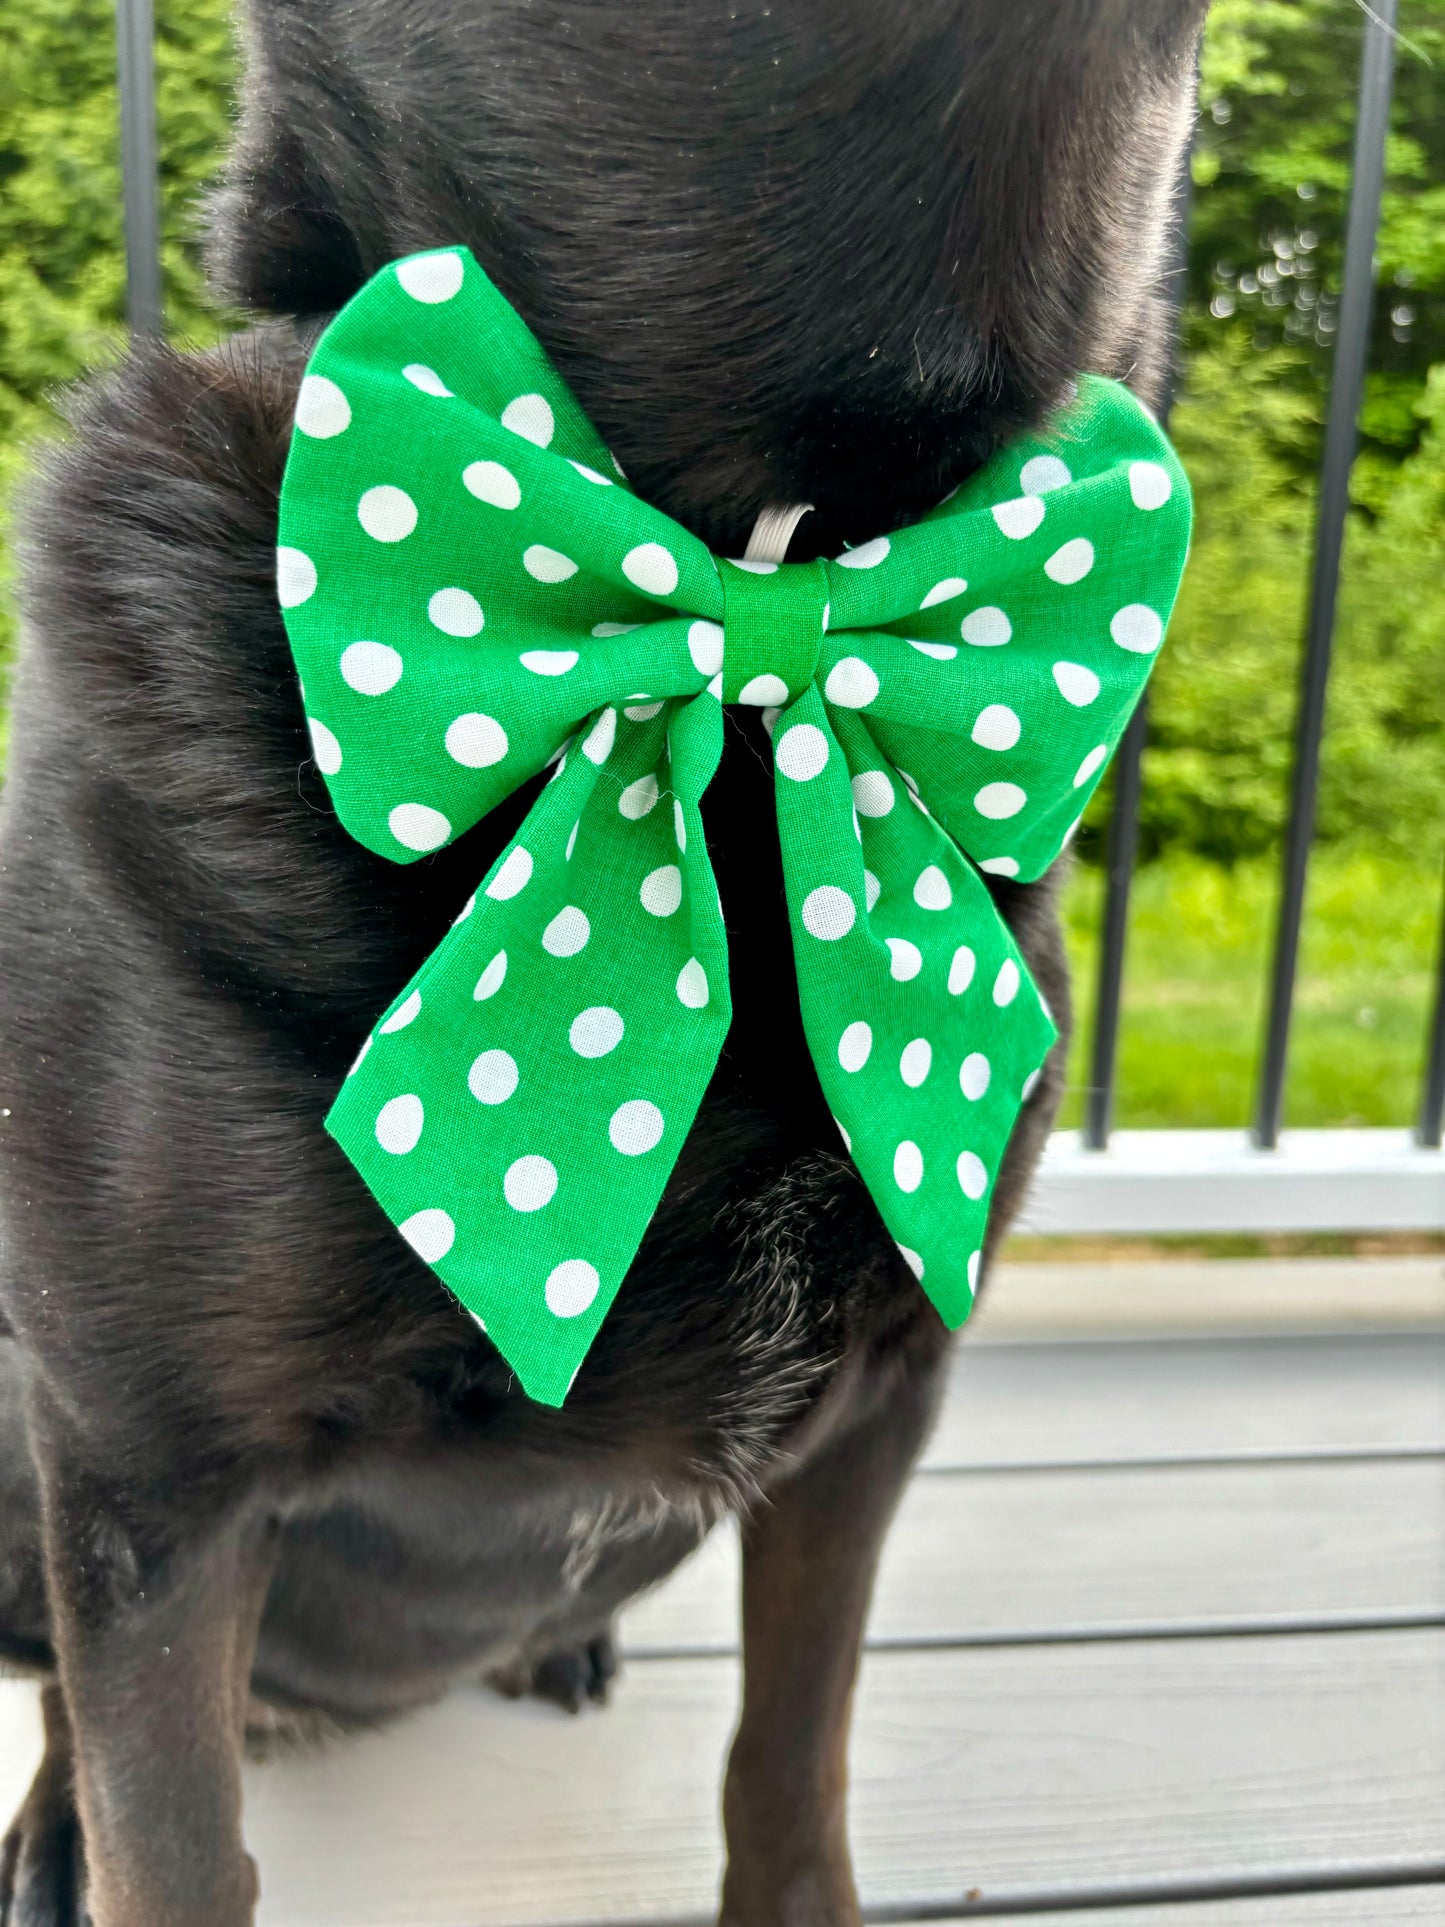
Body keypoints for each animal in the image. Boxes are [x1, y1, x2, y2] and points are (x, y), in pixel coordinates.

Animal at [0, 7, 1202, 1919]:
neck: (758, 564)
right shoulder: (148, 1463)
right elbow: (166, 1834)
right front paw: (100, 1823)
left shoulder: (873, 1411)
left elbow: (792, 1747)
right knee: (60, 1686)